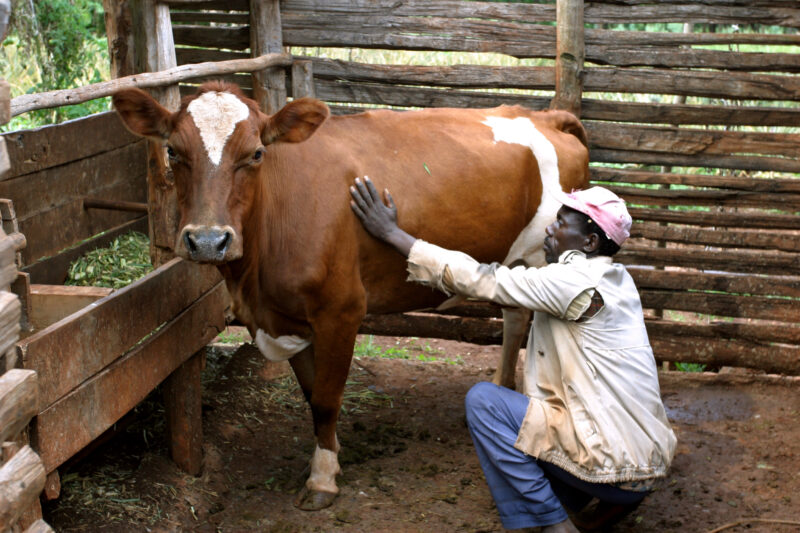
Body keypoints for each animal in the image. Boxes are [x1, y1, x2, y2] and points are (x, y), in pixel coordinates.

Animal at [112, 81, 590, 511]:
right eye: (173, 152)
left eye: (256, 153)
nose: (209, 241)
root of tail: (545, 116)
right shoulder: (285, 319)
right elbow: (312, 395)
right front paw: (331, 454)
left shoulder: (340, 311)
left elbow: (326, 398)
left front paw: (322, 478)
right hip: (517, 260)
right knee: (515, 316)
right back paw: (501, 385)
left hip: (543, 259)